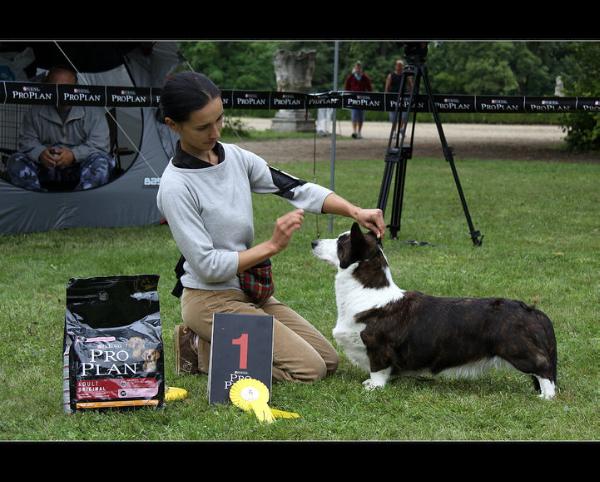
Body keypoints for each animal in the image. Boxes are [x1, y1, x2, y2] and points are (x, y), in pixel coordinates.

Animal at [314, 222, 556, 400]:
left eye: (340, 242)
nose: (313, 241)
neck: (367, 292)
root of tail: (531, 310)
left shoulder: (378, 348)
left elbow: (378, 371)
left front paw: (373, 387)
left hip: (518, 350)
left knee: (544, 368)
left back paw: (546, 397)